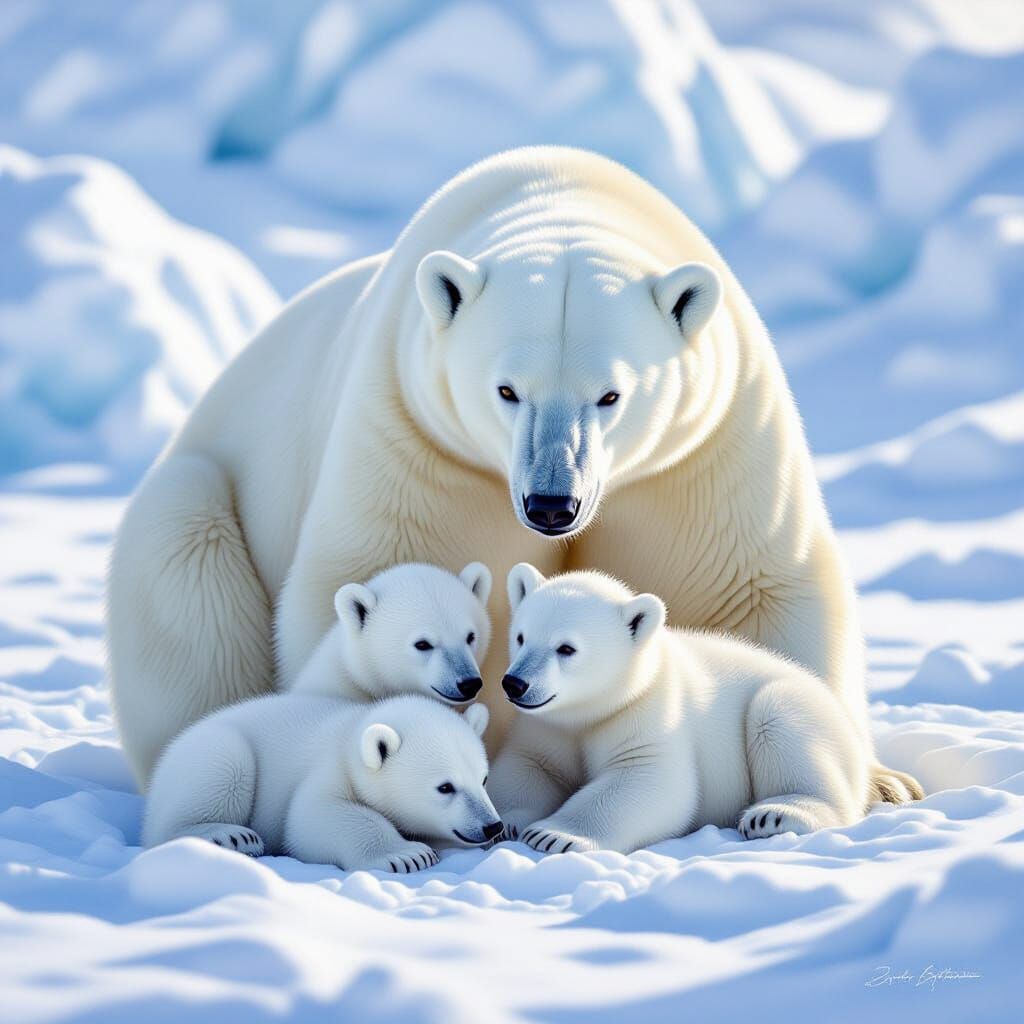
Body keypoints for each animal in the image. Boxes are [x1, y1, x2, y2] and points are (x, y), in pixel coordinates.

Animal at [143, 694, 500, 873]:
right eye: (445, 787)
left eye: (483, 778)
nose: (492, 826)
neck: (353, 734)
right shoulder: (329, 769)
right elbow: (313, 817)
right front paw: (407, 854)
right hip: (212, 752)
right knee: (224, 765)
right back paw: (229, 835)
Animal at [487, 564, 870, 855]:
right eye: (521, 637)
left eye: (566, 648)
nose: (514, 683)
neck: (593, 709)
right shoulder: (546, 727)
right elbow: (529, 766)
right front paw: (505, 821)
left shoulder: (648, 713)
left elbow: (651, 778)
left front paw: (552, 834)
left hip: (801, 710)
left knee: (776, 718)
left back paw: (774, 814)